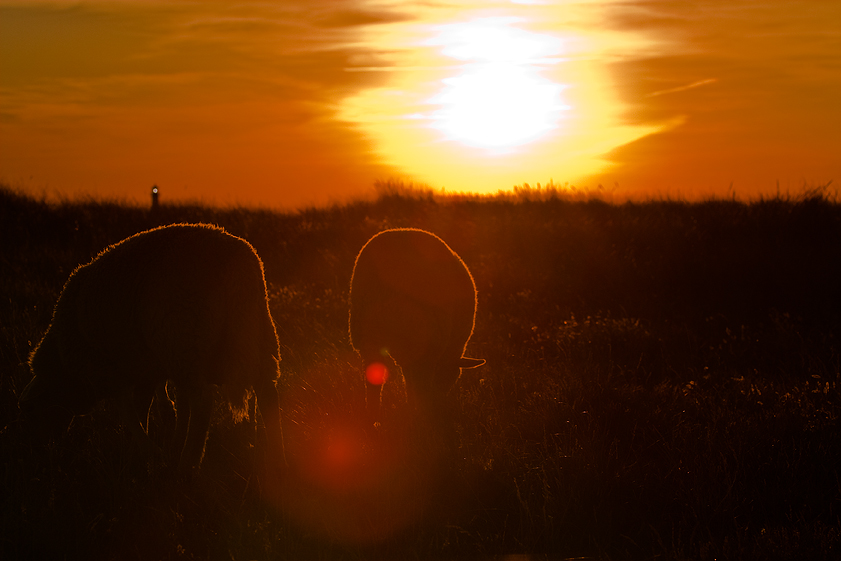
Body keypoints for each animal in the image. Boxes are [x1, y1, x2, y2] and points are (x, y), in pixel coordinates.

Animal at [348, 228, 482, 424]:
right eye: (451, 378)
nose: (441, 404)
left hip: (369, 335)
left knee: (374, 380)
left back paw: (373, 418)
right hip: (424, 338)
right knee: (420, 383)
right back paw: (420, 417)